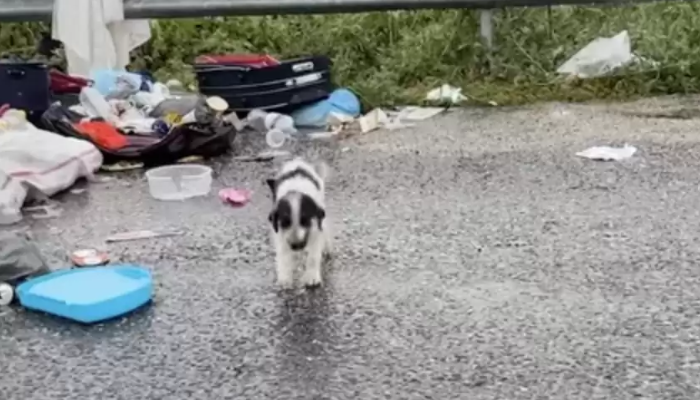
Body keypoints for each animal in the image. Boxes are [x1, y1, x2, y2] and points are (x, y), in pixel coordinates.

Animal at [268, 157, 334, 288]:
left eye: (304, 220)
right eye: (285, 222)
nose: (297, 246)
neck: (295, 190)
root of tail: (297, 161)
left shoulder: (316, 228)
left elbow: (313, 256)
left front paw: (312, 277)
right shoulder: (280, 233)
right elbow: (283, 256)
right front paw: (285, 278)